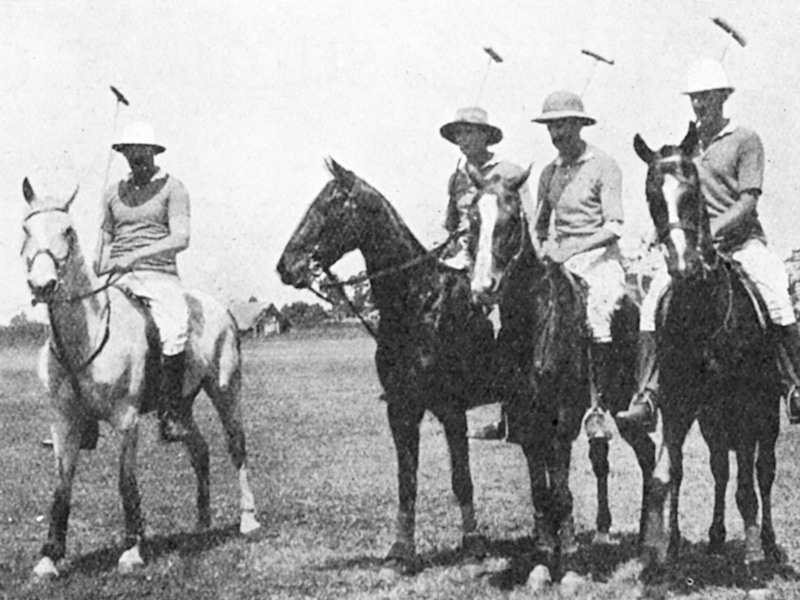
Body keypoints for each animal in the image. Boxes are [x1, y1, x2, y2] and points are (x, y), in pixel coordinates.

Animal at [20, 179, 260, 580]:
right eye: (25, 229)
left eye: (68, 231)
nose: (42, 284)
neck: (85, 337)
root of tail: (223, 309)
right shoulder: (64, 422)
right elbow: (61, 488)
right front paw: (48, 557)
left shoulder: (126, 419)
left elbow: (126, 481)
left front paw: (132, 549)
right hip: (181, 404)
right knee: (200, 449)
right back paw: (202, 522)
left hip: (226, 389)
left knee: (236, 446)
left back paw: (248, 520)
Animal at [278, 159, 496, 576]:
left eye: (329, 206)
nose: (286, 266)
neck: (420, 300)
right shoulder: (401, 408)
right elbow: (406, 481)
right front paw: (401, 552)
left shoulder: (451, 409)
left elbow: (461, 478)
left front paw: (474, 544)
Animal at [468, 166, 656, 584]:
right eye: (472, 222)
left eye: (509, 222)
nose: (482, 288)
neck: (534, 324)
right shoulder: (526, 422)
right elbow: (542, 493)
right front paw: (541, 563)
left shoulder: (562, 421)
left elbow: (562, 493)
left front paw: (568, 565)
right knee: (632, 454)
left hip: (623, 400)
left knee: (647, 454)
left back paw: (651, 539)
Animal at [632, 124, 780, 568]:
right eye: (652, 196)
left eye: (692, 192)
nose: (684, 265)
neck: (703, 313)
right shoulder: (678, 405)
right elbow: (669, 475)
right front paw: (664, 548)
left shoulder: (745, 404)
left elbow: (748, 482)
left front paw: (752, 553)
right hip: (712, 418)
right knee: (719, 467)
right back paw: (715, 538)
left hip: (767, 411)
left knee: (764, 470)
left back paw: (767, 542)